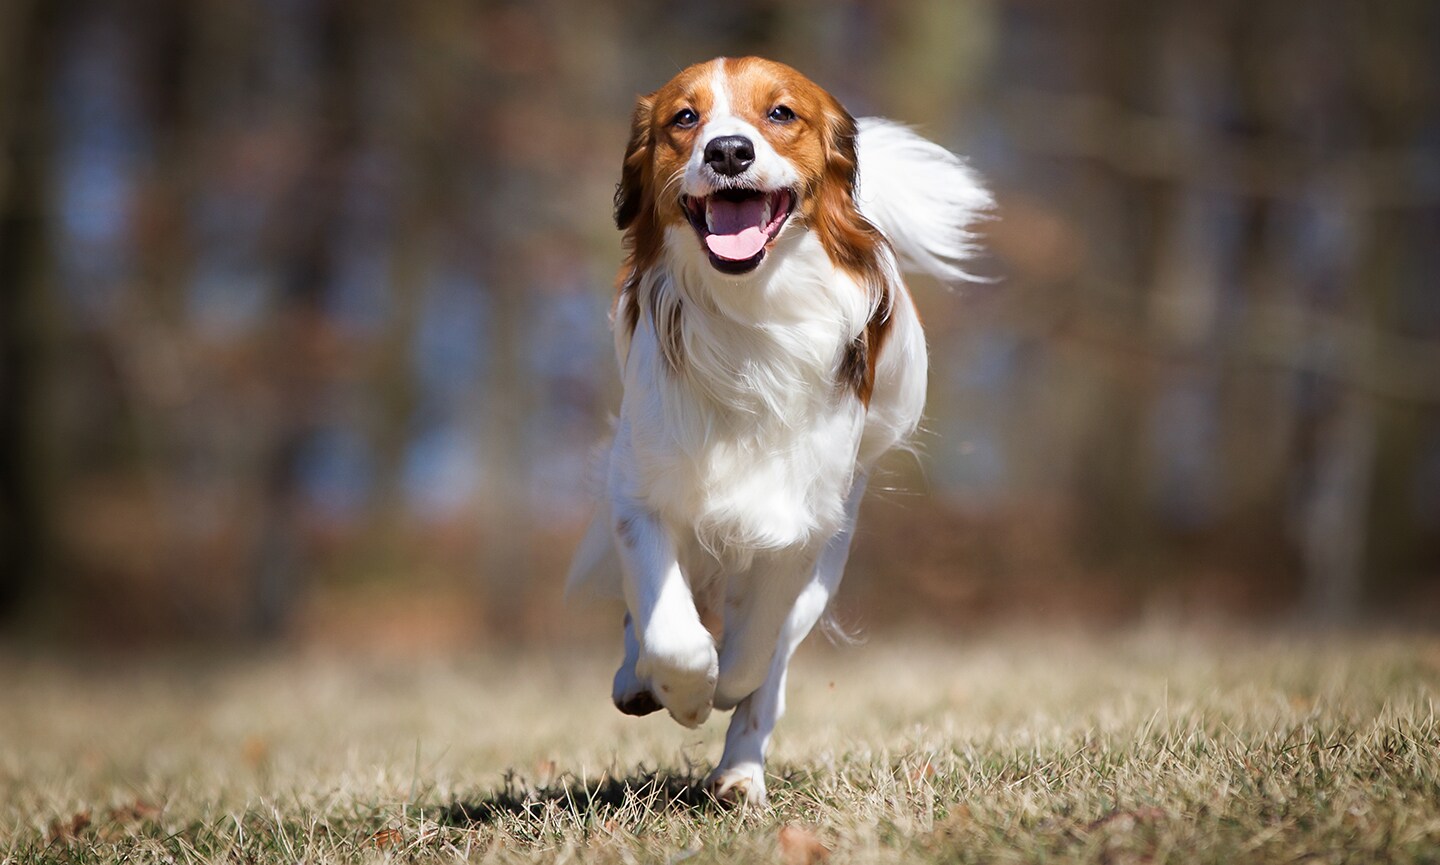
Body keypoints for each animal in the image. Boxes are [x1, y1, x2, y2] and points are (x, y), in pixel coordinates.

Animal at [564, 59, 990, 800]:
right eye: (684, 118)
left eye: (782, 113)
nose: (729, 151)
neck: (748, 314)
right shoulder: (640, 495)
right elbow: (670, 631)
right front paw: (680, 691)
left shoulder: (799, 525)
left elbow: (753, 656)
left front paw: (722, 694)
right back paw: (638, 682)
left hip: (830, 557)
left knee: (772, 669)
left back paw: (739, 772)